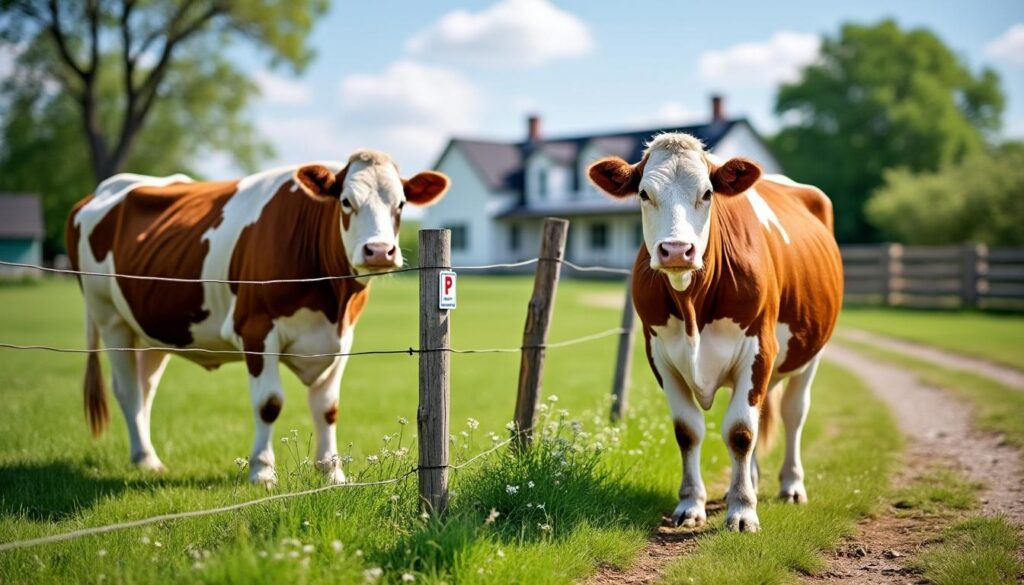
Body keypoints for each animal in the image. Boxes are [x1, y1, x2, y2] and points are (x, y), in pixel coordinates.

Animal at [66, 150, 449, 486]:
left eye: (400, 204)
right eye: (345, 202)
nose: (379, 251)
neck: (330, 299)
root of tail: (101, 190)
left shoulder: (342, 338)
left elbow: (327, 407)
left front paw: (332, 473)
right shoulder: (256, 330)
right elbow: (269, 403)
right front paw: (263, 472)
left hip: (154, 329)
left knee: (145, 388)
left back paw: (146, 457)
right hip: (109, 317)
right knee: (127, 388)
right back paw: (145, 457)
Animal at [588, 133, 843, 532]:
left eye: (707, 193)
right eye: (644, 193)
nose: (677, 250)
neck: (693, 307)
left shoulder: (759, 348)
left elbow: (740, 431)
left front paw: (743, 511)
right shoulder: (660, 356)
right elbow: (688, 431)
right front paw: (691, 504)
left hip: (812, 352)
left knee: (793, 412)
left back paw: (791, 485)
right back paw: (750, 480)